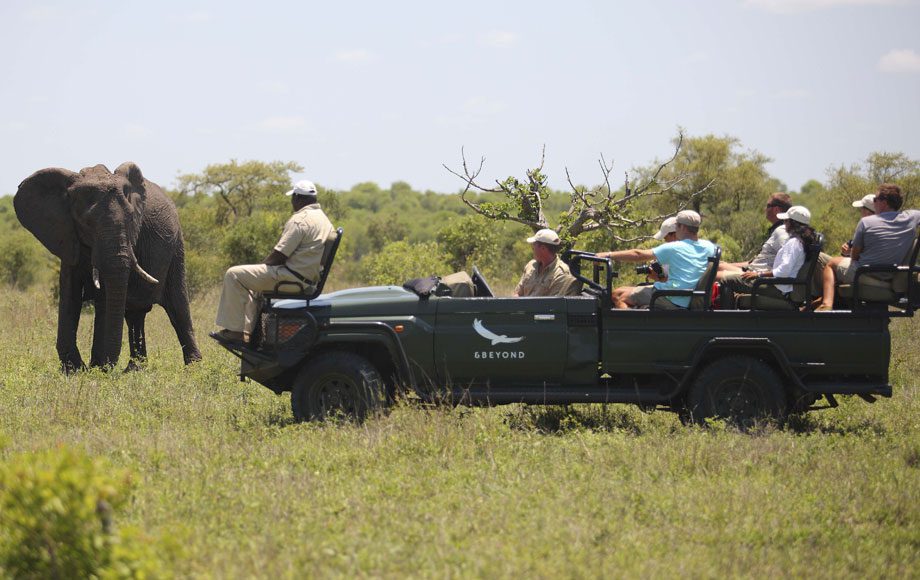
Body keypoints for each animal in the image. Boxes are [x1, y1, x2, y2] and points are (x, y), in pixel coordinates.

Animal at [14, 161, 202, 370]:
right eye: (87, 223)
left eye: (131, 219)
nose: (106, 365)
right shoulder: (67, 236)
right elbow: (69, 294)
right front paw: (74, 370)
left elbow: (104, 297)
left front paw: (96, 368)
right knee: (135, 314)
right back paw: (135, 369)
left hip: (177, 247)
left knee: (178, 307)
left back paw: (193, 368)